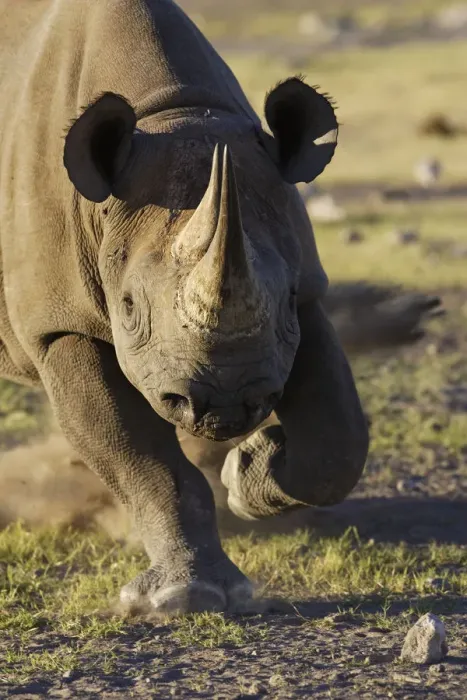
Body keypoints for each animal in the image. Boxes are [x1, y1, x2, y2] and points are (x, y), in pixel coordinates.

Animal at [0, 0, 372, 615]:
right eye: (127, 307)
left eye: (288, 300)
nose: (225, 404)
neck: (172, 115)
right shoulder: (59, 323)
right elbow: (141, 457)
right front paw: (184, 597)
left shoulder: (307, 291)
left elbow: (338, 441)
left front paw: (248, 472)